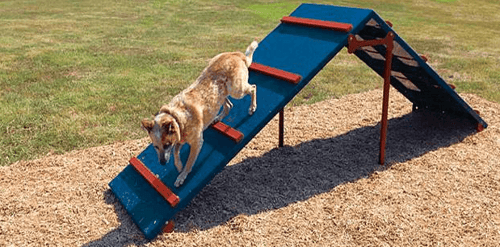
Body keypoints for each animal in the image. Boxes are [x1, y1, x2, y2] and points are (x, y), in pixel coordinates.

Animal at [141, 40, 258, 187]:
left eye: (166, 144)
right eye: (155, 147)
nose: (162, 163)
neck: (178, 117)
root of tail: (235, 54)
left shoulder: (196, 142)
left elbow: (188, 161)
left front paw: (182, 175)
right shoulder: (181, 139)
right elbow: (176, 152)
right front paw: (178, 166)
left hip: (237, 90)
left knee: (253, 87)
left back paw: (252, 107)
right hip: (221, 94)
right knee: (228, 105)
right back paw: (217, 117)